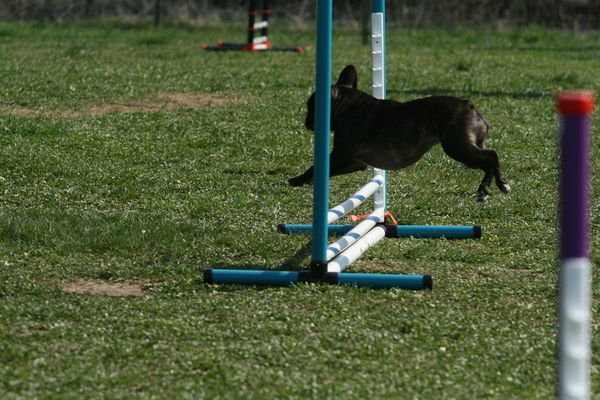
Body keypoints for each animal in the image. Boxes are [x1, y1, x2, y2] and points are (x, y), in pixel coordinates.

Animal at [288, 65, 510, 201]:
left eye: (310, 106)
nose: (307, 122)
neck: (347, 106)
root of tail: (468, 105)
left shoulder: (343, 157)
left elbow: (316, 166)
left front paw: (298, 180)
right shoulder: (352, 163)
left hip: (458, 147)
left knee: (491, 156)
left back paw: (498, 185)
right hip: (465, 150)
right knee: (487, 163)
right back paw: (487, 189)